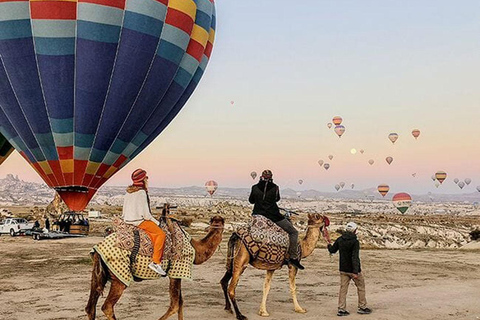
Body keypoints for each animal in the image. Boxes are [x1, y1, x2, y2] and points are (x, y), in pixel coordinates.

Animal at [85, 212, 225, 320]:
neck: (195, 248)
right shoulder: (176, 270)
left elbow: (180, 303)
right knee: (107, 307)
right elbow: (175, 305)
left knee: (90, 307)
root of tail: (98, 249)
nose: (216, 225)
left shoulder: (178, 273)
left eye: (219, 221)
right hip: (119, 275)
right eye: (216, 221)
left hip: (99, 274)